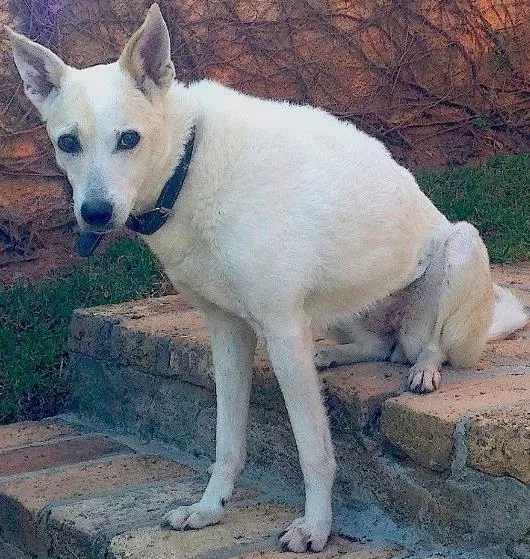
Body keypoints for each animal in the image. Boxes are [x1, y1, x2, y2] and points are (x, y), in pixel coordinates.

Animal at [7, 6, 524, 552]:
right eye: (68, 143)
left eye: (129, 139)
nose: (96, 213)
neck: (189, 167)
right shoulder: (228, 333)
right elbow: (227, 441)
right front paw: (210, 509)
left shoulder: (280, 329)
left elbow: (313, 449)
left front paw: (316, 527)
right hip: (336, 313)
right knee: (381, 346)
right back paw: (337, 355)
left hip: (460, 248)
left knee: (429, 344)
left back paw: (425, 368)